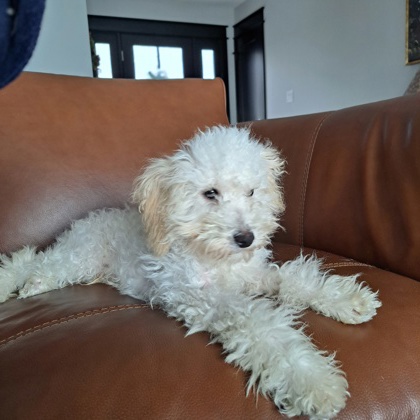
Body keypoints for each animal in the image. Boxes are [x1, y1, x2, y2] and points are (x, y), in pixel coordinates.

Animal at [0, 126, 381, 419]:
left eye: (251, 192)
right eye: (210, 193)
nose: (246, 238)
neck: (216, 257)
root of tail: (84, 222)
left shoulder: (254, 276)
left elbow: (293, 278)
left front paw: (348, 299)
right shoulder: (206, 299)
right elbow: (262, 326)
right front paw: (313, 381)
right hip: (80, 256)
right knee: (32, 260)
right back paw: (25, 285)